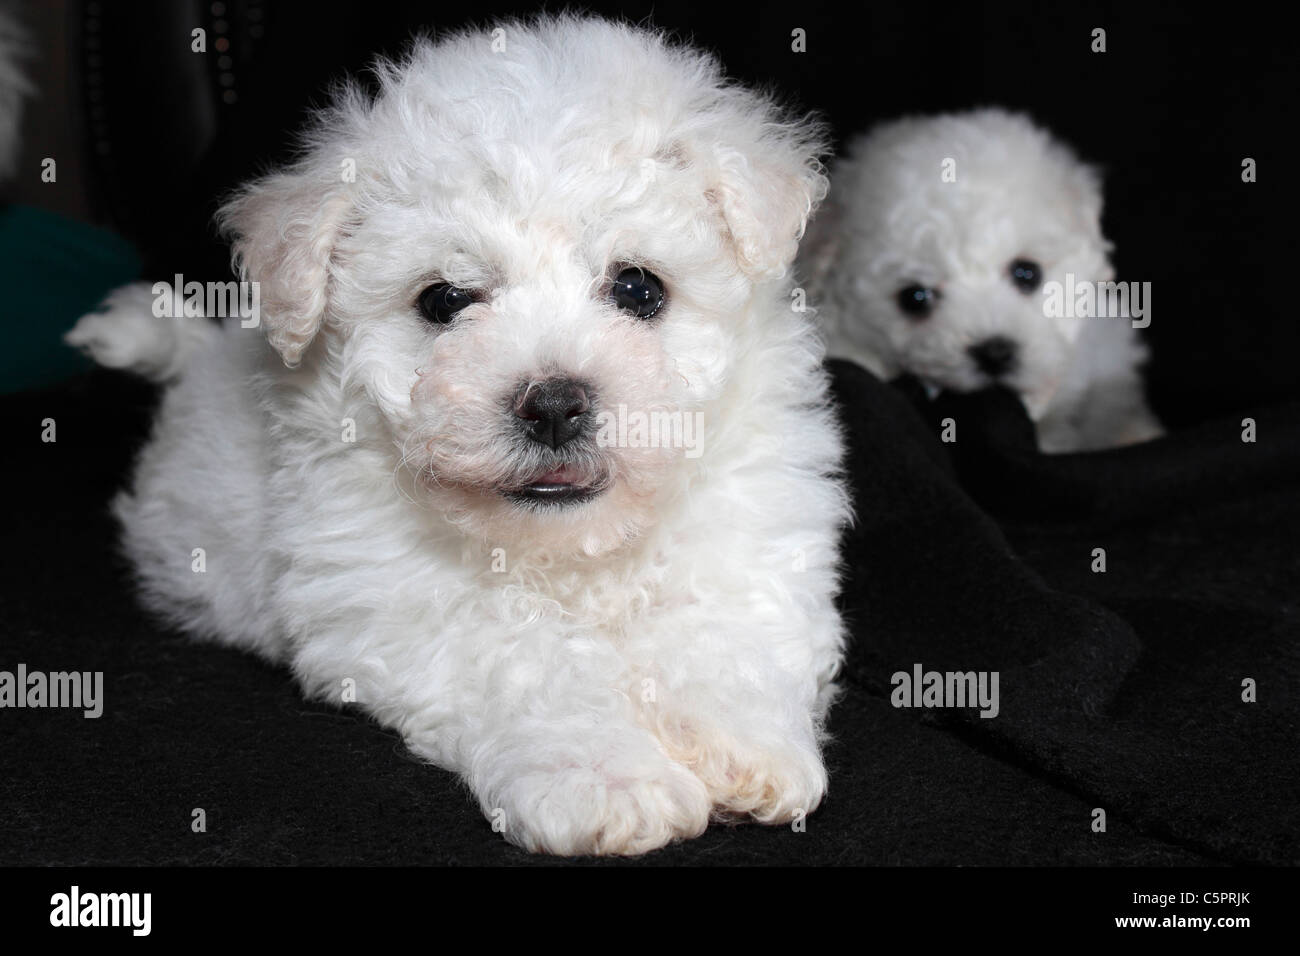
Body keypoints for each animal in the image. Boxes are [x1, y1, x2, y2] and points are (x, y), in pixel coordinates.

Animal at [68, 14, 852, 858]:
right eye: (445, 301)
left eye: (639, 288)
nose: (553, 404)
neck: (575, 553)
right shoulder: (401, 597)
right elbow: (531, 668)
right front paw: (607, 780)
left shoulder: (747, 532)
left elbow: (726, 627)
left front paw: (748, 746)